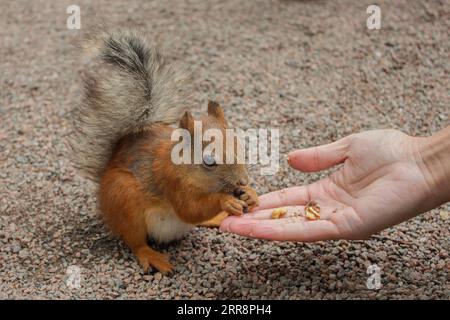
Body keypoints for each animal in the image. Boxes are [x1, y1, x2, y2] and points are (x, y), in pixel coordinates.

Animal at [71, 30, 260, 274]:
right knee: (136, 241)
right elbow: (189, 208)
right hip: (123, 198)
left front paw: (251, 195)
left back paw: (216, 219)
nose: (242, 182)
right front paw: (225, 202)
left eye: (239, 145)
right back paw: (152, 256)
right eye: (209, 161)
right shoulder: (170, 180)